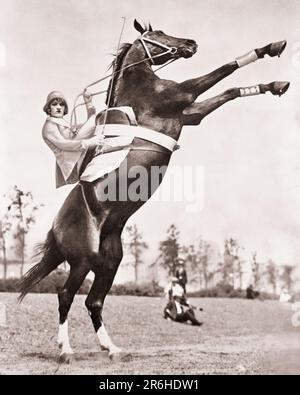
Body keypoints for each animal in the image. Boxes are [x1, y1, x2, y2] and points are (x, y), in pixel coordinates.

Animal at [19, 20, 288, 362]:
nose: (190, 43)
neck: (139, 89)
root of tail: (56, 228)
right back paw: (66, 350)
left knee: (94, 301)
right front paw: (270, 50)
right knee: (65, 295)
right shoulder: (183, 95)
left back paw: (112, 349)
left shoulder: (190, 114)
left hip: (110, 260)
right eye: (158, 34)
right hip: (82, 259)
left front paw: (276, 82)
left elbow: (229, 91)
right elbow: (224, 71)